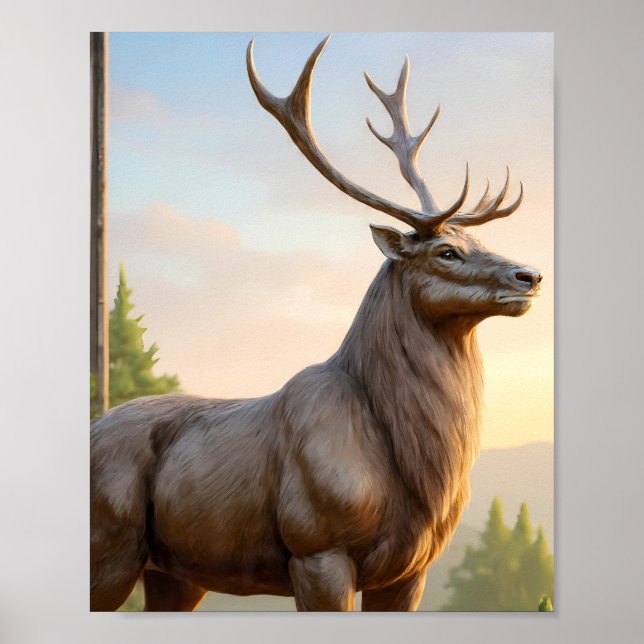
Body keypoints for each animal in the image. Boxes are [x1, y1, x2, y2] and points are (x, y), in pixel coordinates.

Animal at [90, 35, 542, 612]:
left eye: (480, 241)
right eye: (446, 251)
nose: (530, 275)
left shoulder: (410, 571)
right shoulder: (317, 549)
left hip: (177, 571)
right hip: (108, 543)